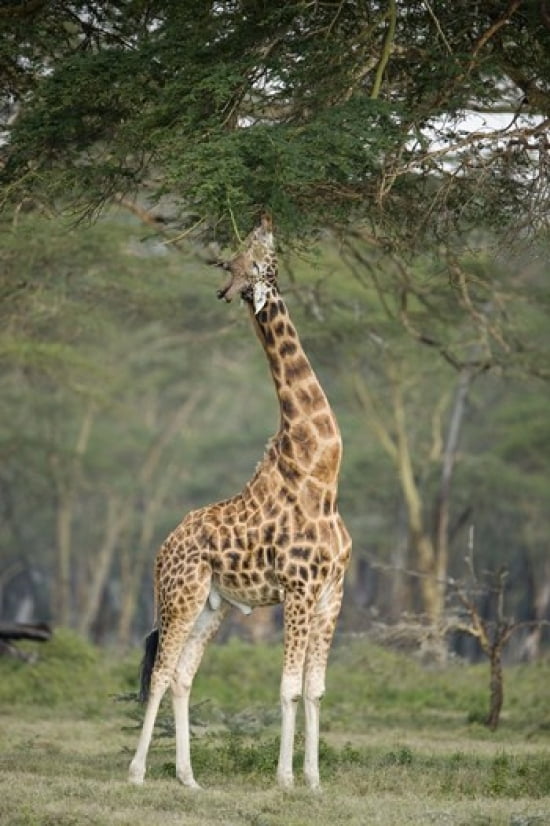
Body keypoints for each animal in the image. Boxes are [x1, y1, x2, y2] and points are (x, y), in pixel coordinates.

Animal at [128, 213, 351, 791]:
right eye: (252, 254)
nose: (267, 217)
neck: (321, 476)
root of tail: (161, 548)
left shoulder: (331, 593)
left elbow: (316, 689)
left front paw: (315, 781)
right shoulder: (298, 589)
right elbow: (289, 687)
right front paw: (286, 779)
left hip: (213, 605)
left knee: (184, 675)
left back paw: (188, 777)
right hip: (179, 595)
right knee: (161, 670)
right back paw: (137, 772)